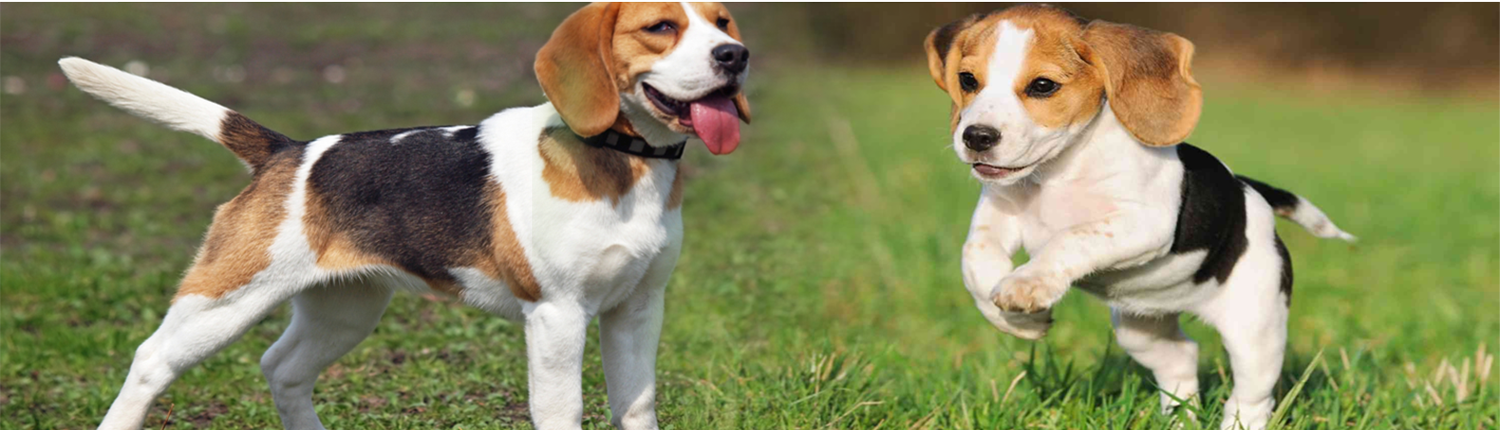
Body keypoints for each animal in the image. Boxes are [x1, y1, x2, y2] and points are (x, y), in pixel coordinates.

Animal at [61, 3, 750, 430]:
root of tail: (287, 151)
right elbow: (564, 412)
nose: (735, 55)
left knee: (281, 369)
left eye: (722, 22)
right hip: (226, 299)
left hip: (346, 308)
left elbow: (636, 407)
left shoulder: (638, 309)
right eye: (660, 27)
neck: (622, 157)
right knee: (151, 361)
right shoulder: (557, 316)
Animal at [924, 5, 1362, 430]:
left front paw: (1027, 284)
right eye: (967, 79)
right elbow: (975, 259)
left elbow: (1072, 237)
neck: (1057, 171)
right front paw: (1019, 322)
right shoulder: (997, 215)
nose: (977, 137)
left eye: (1043, 86)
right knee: (1182, 359)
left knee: (1251, 399)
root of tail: (1247, 188)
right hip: (1142, 333)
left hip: (1255, 331)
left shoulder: (1144, 224)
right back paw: (1179, 421)